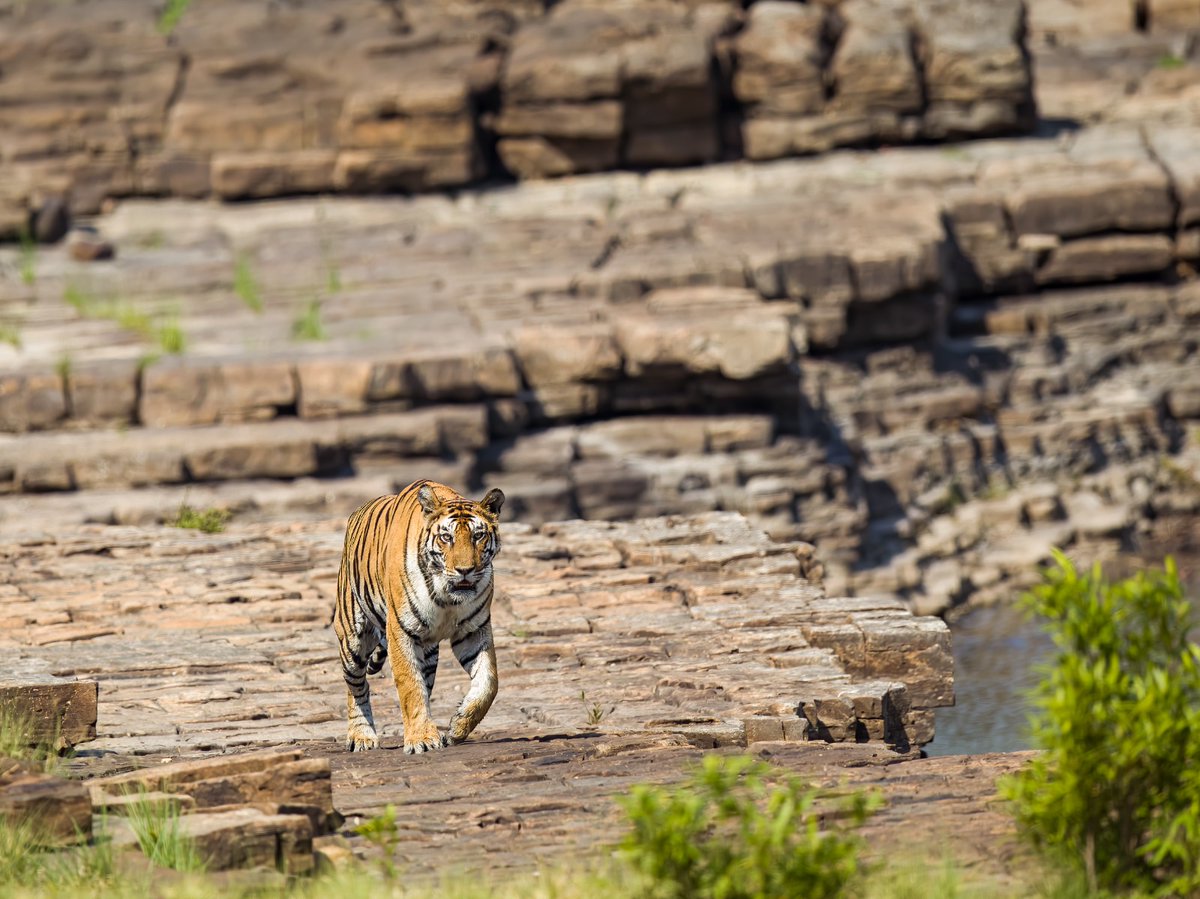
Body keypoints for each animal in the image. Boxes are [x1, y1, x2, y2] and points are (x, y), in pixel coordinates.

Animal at [332, 479, 505, 754]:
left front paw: (458, 727)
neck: (447, 596)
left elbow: (488, 683)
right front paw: (422, 739)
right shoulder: (400, 631)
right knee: (357, 686)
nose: (465, 571)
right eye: (446, 537)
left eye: (478, 535)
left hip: (428, 652)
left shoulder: (473, 631)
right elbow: (410, 687)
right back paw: (362, 737)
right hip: (353, 638)